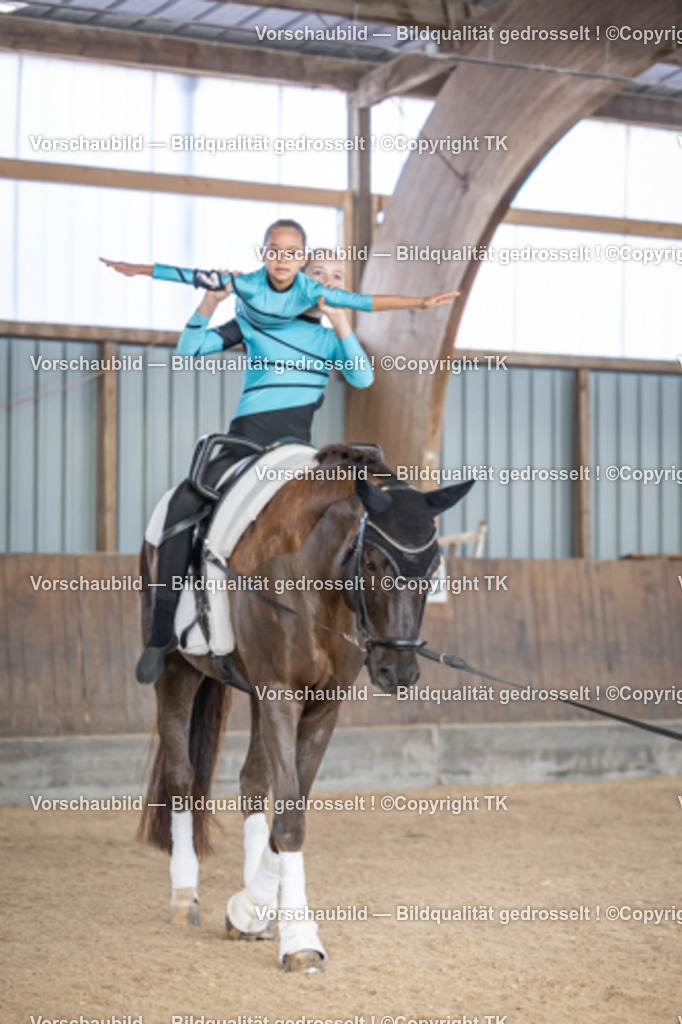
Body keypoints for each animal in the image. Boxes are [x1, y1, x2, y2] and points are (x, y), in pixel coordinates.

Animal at [138, 443, 473, 973]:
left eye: (435, 565)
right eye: (372, 563)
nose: (399, 671)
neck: (315, 579)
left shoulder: (321, 706)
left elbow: (286, 811)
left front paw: (253, 911)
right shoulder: (281, 694)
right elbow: (291, 819)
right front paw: (298, 939)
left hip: (253, 692)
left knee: (252, 781)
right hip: (177, 669)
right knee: (181, 777)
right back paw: (184, 894)